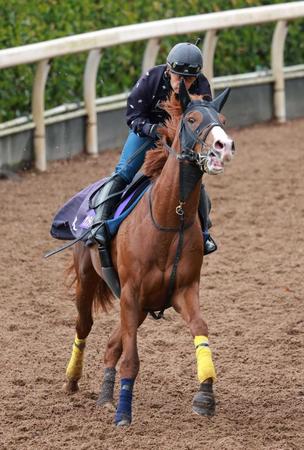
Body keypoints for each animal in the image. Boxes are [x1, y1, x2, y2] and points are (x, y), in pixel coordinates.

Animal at [64, 81, 235, 426]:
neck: (169, 220)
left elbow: (200, 328)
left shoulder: (183, 290)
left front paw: (205, 396)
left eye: (222, 118)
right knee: (84, 326)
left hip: (140, 307)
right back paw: (72, 380)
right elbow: (132, 359)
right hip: (89, 281)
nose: (223, 146)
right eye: (192, 119)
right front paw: (123, 414)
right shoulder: (131, 292)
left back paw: (105, 396)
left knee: (111, 345)